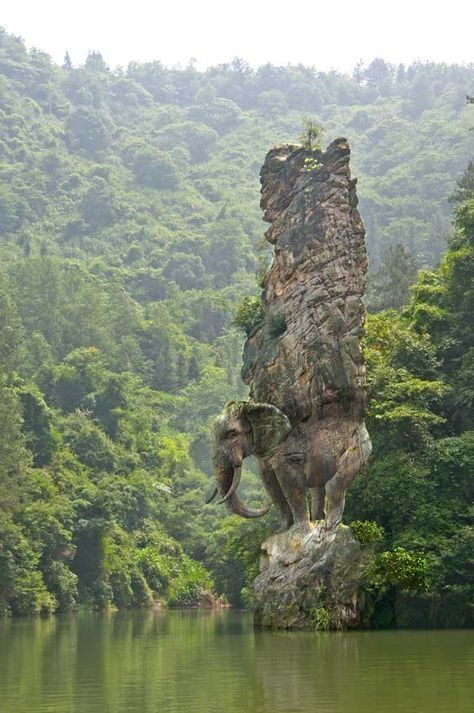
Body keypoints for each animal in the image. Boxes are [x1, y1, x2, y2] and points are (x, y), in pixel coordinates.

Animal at [206, 400, 372, 531]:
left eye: (232, 434)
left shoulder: (285, 450)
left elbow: (290, 483)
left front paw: (300, 531)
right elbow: (271, 484)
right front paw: (283, 529)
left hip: (358, 447)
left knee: (334, 485)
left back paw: (329, 526)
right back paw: (319, 520)